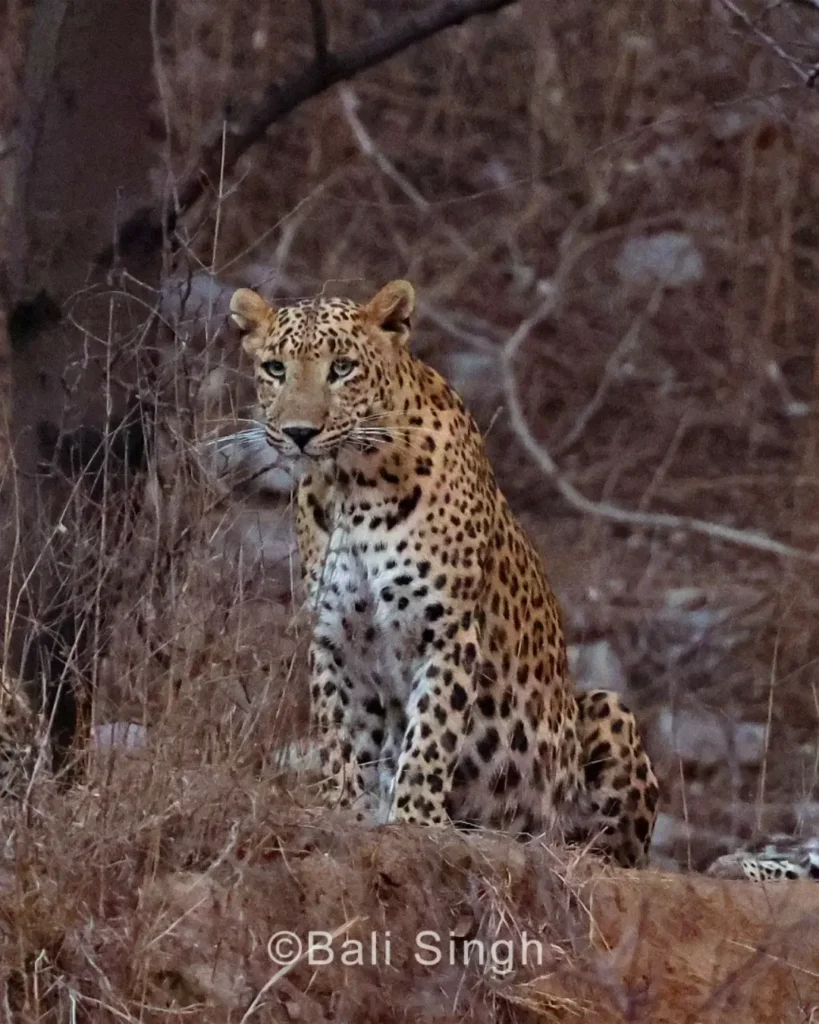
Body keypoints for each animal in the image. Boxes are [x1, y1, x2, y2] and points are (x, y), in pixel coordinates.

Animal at [230, 279, 659, 867]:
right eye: (275, 368)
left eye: (341, 368)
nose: (299, 432)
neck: (350, 486)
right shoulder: (334, 636)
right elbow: (340, 729)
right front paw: (344, 807)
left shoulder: (446, 629)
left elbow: (432, 729)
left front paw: (415, 817)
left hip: (604, 714)